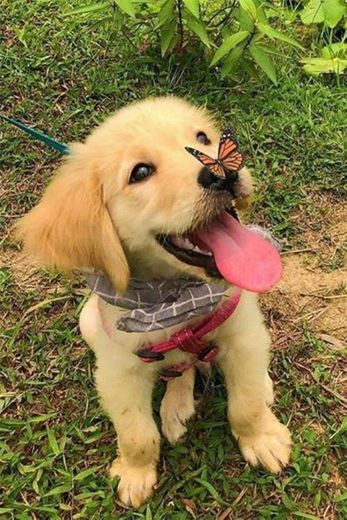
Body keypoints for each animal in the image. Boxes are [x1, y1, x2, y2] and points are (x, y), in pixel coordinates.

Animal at [17, 97, 294, 508]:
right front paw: (135, 474)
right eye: (141, 172)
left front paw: (262, 439)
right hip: (88, 322)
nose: (223, 174)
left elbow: (244, 405)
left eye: (202, 138)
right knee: (179, 370)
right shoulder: (118, 372)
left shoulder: (242, 334)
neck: (174, 299)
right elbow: (136, 433)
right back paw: (176, 407)